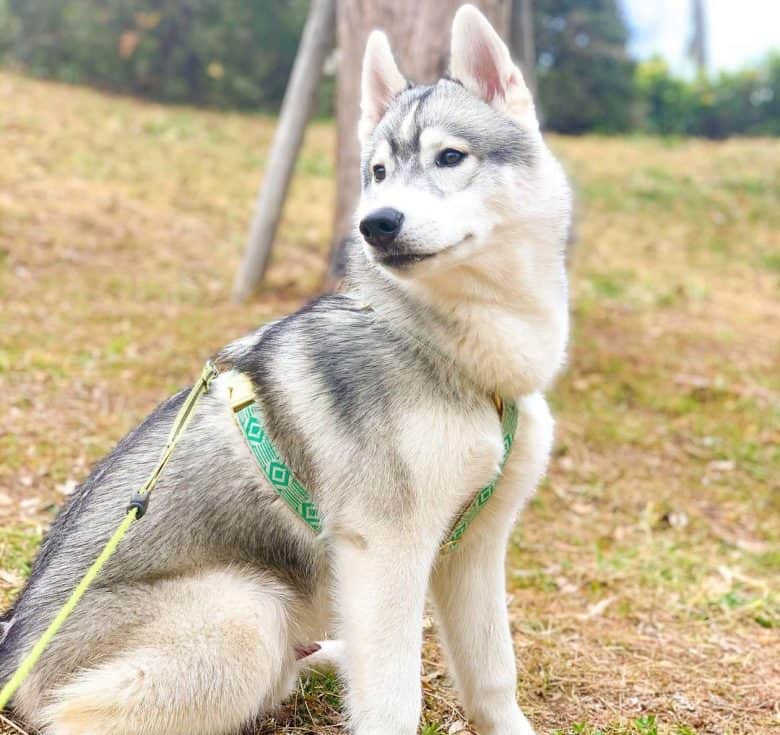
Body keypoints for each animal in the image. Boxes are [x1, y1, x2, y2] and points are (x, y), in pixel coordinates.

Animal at [1, 7, 572, 735]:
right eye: (378, 171)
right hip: (246, 611)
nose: (375, 223)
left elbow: (495, 674)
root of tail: (13, 654)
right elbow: (394, 699)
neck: (456, 354)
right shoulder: (386, 550)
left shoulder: (476, 547)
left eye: (450, 157)